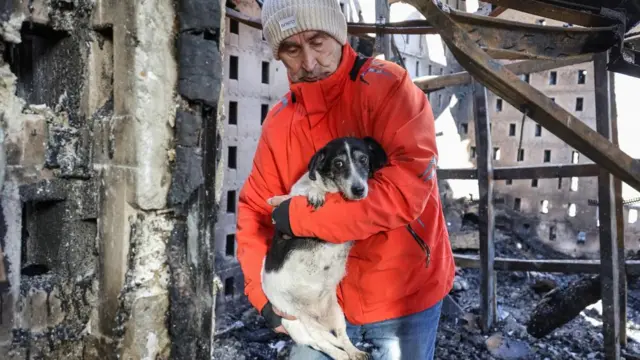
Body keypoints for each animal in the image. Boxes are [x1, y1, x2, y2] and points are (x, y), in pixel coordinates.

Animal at [258, 136, 384, 358]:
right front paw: (315, 193)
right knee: (322, 344)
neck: (332, 190)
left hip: (336, 313)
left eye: (363, 159)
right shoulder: (292, 197)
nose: (359, 190)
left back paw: (354, 352)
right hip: (296, 322)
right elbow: (305, 191)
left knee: (341, 338)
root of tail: (316, 316)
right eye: (338, 163)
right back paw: (341, 355)